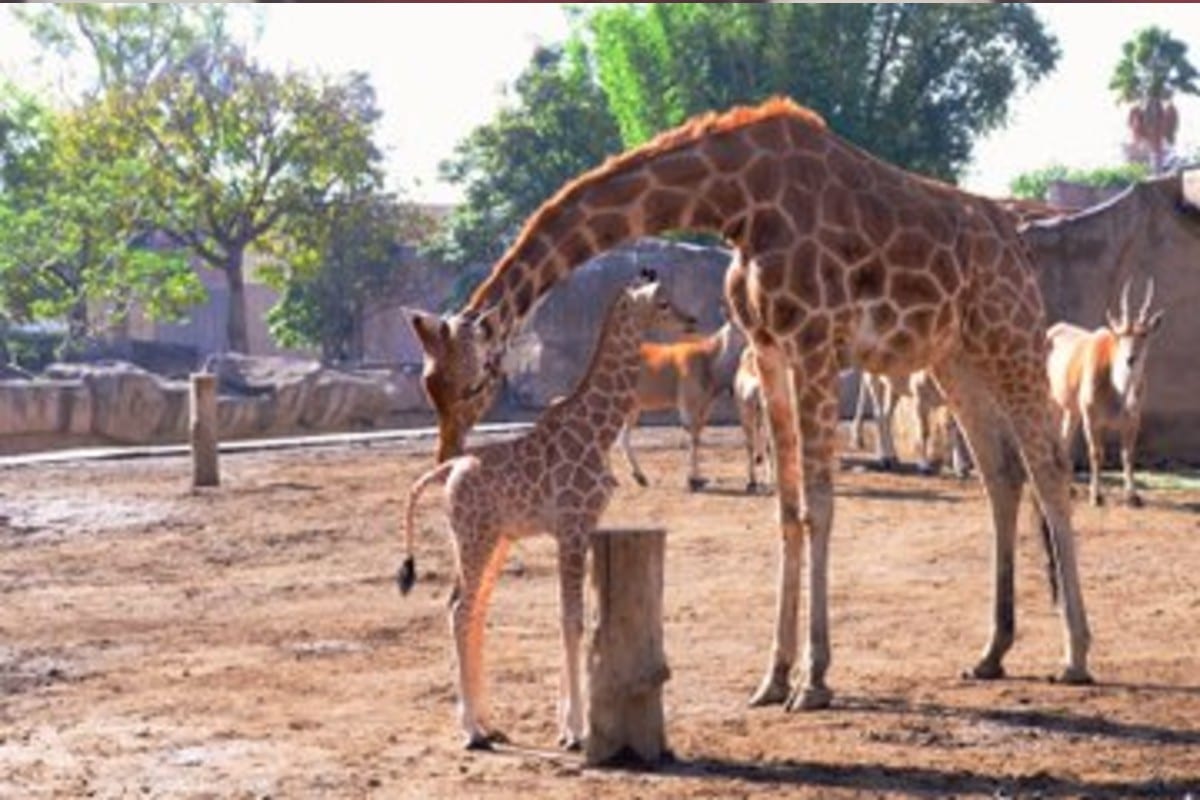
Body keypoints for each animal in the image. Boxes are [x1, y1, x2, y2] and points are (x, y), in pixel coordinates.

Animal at [396, 272, 696, 753]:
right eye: (663, 303)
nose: (693, 320)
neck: (597, 429)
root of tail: (447, 470)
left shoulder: (585, 527)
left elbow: (573, 617)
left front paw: (566, 725)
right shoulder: (571, 526)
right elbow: (571, 620)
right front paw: (576, 731)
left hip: (492, 539)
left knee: (470, 610)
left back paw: (487, 722)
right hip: (475, 537)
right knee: (461, 610)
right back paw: (472, 732)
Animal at [619, 316, 739, 491]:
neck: (708, 358)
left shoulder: (704, 409)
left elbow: (697, 437)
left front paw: (697, 478)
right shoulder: (688, 407)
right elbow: (693, 438)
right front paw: (693, 480)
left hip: (632, 408)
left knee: (623, 438)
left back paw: (640, 476)